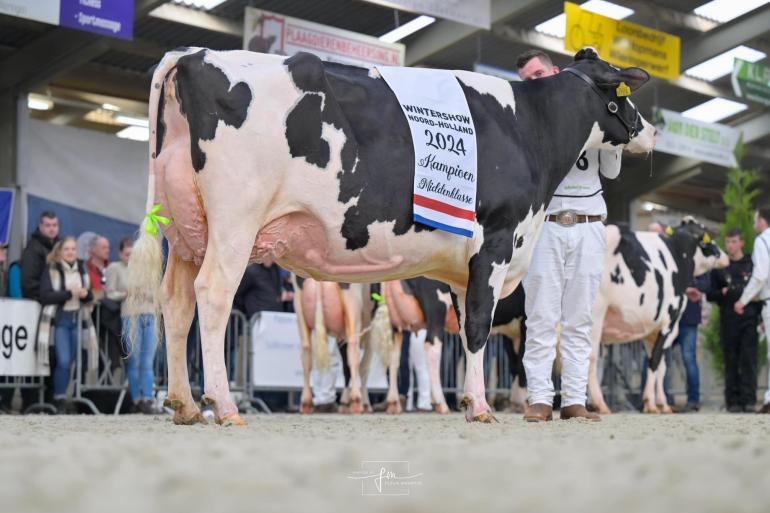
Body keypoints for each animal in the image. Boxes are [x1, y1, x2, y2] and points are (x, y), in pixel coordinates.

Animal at [127, 47, 656, 424]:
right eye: (624, 91)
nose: (649, 129)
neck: (532, 129)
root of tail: (192, 54)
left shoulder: (463, 268)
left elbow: (468, 330)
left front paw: (469, 402)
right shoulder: (497, 239)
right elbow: (479, 328)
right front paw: (483, 408)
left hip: (185, 230)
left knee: (176, 303)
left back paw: (184, 406)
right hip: (235, 219)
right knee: (213, 296)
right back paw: (223, 406)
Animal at [588, 219, 728, 412]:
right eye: (708, 240)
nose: (726, 257)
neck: (678, 251)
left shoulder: (651, 331)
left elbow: (660, 366)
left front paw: (661, 404)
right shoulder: (669, 323)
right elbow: (655, 362)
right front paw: (652, 404)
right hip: (595, 313)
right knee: (590, 356)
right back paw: (600, 404)